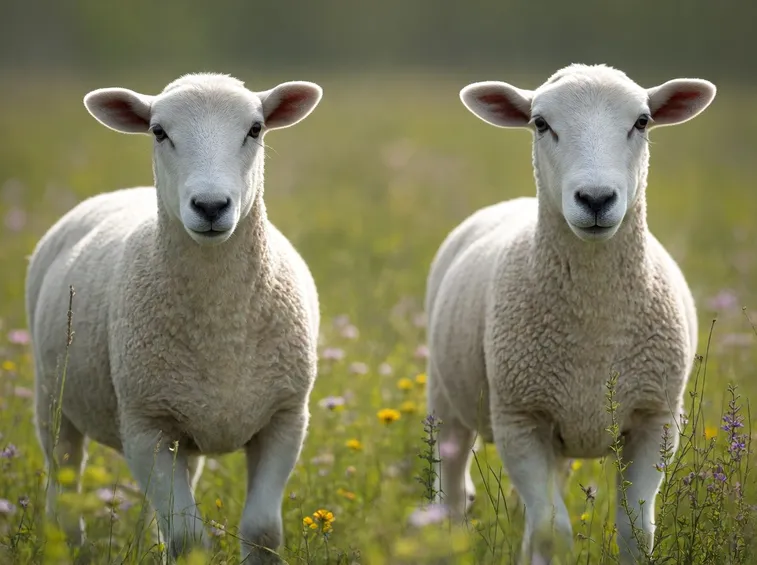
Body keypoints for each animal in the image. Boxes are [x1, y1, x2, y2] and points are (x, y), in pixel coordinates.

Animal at [26, 72, 323, 563]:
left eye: (255, 129)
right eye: (158, 131)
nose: (210, 206)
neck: (222, 325)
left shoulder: (284, 417)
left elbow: (261, 531)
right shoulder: (146, 425)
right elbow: (187, 540)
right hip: (54, 397)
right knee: (63, 482)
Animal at [424, 63, 715, 564]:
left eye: (642, 122)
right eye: (541, 123)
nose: (595, 199)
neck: (595, 323)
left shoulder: (655, 419)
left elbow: (636, 529)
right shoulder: (520, 419)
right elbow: (552, 531)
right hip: (447, 399)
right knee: (453, 492)